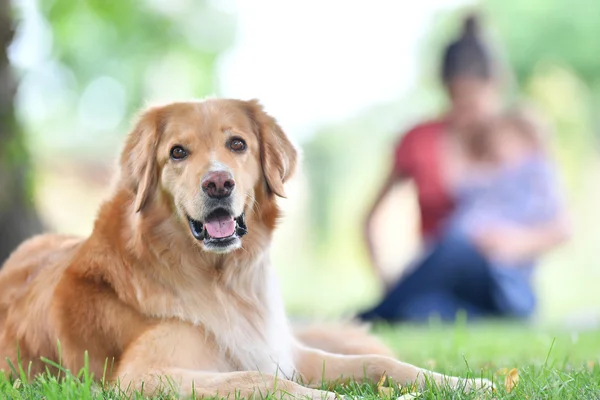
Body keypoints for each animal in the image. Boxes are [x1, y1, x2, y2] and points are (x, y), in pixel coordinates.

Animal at [1, 99, 492, 396]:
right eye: (177, 153)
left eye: (237, 143)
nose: (218, 183)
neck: (223, 281)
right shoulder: (142, 377)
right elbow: (256, 380)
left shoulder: (284, 352)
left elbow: (379, 361)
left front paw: (465, 383)